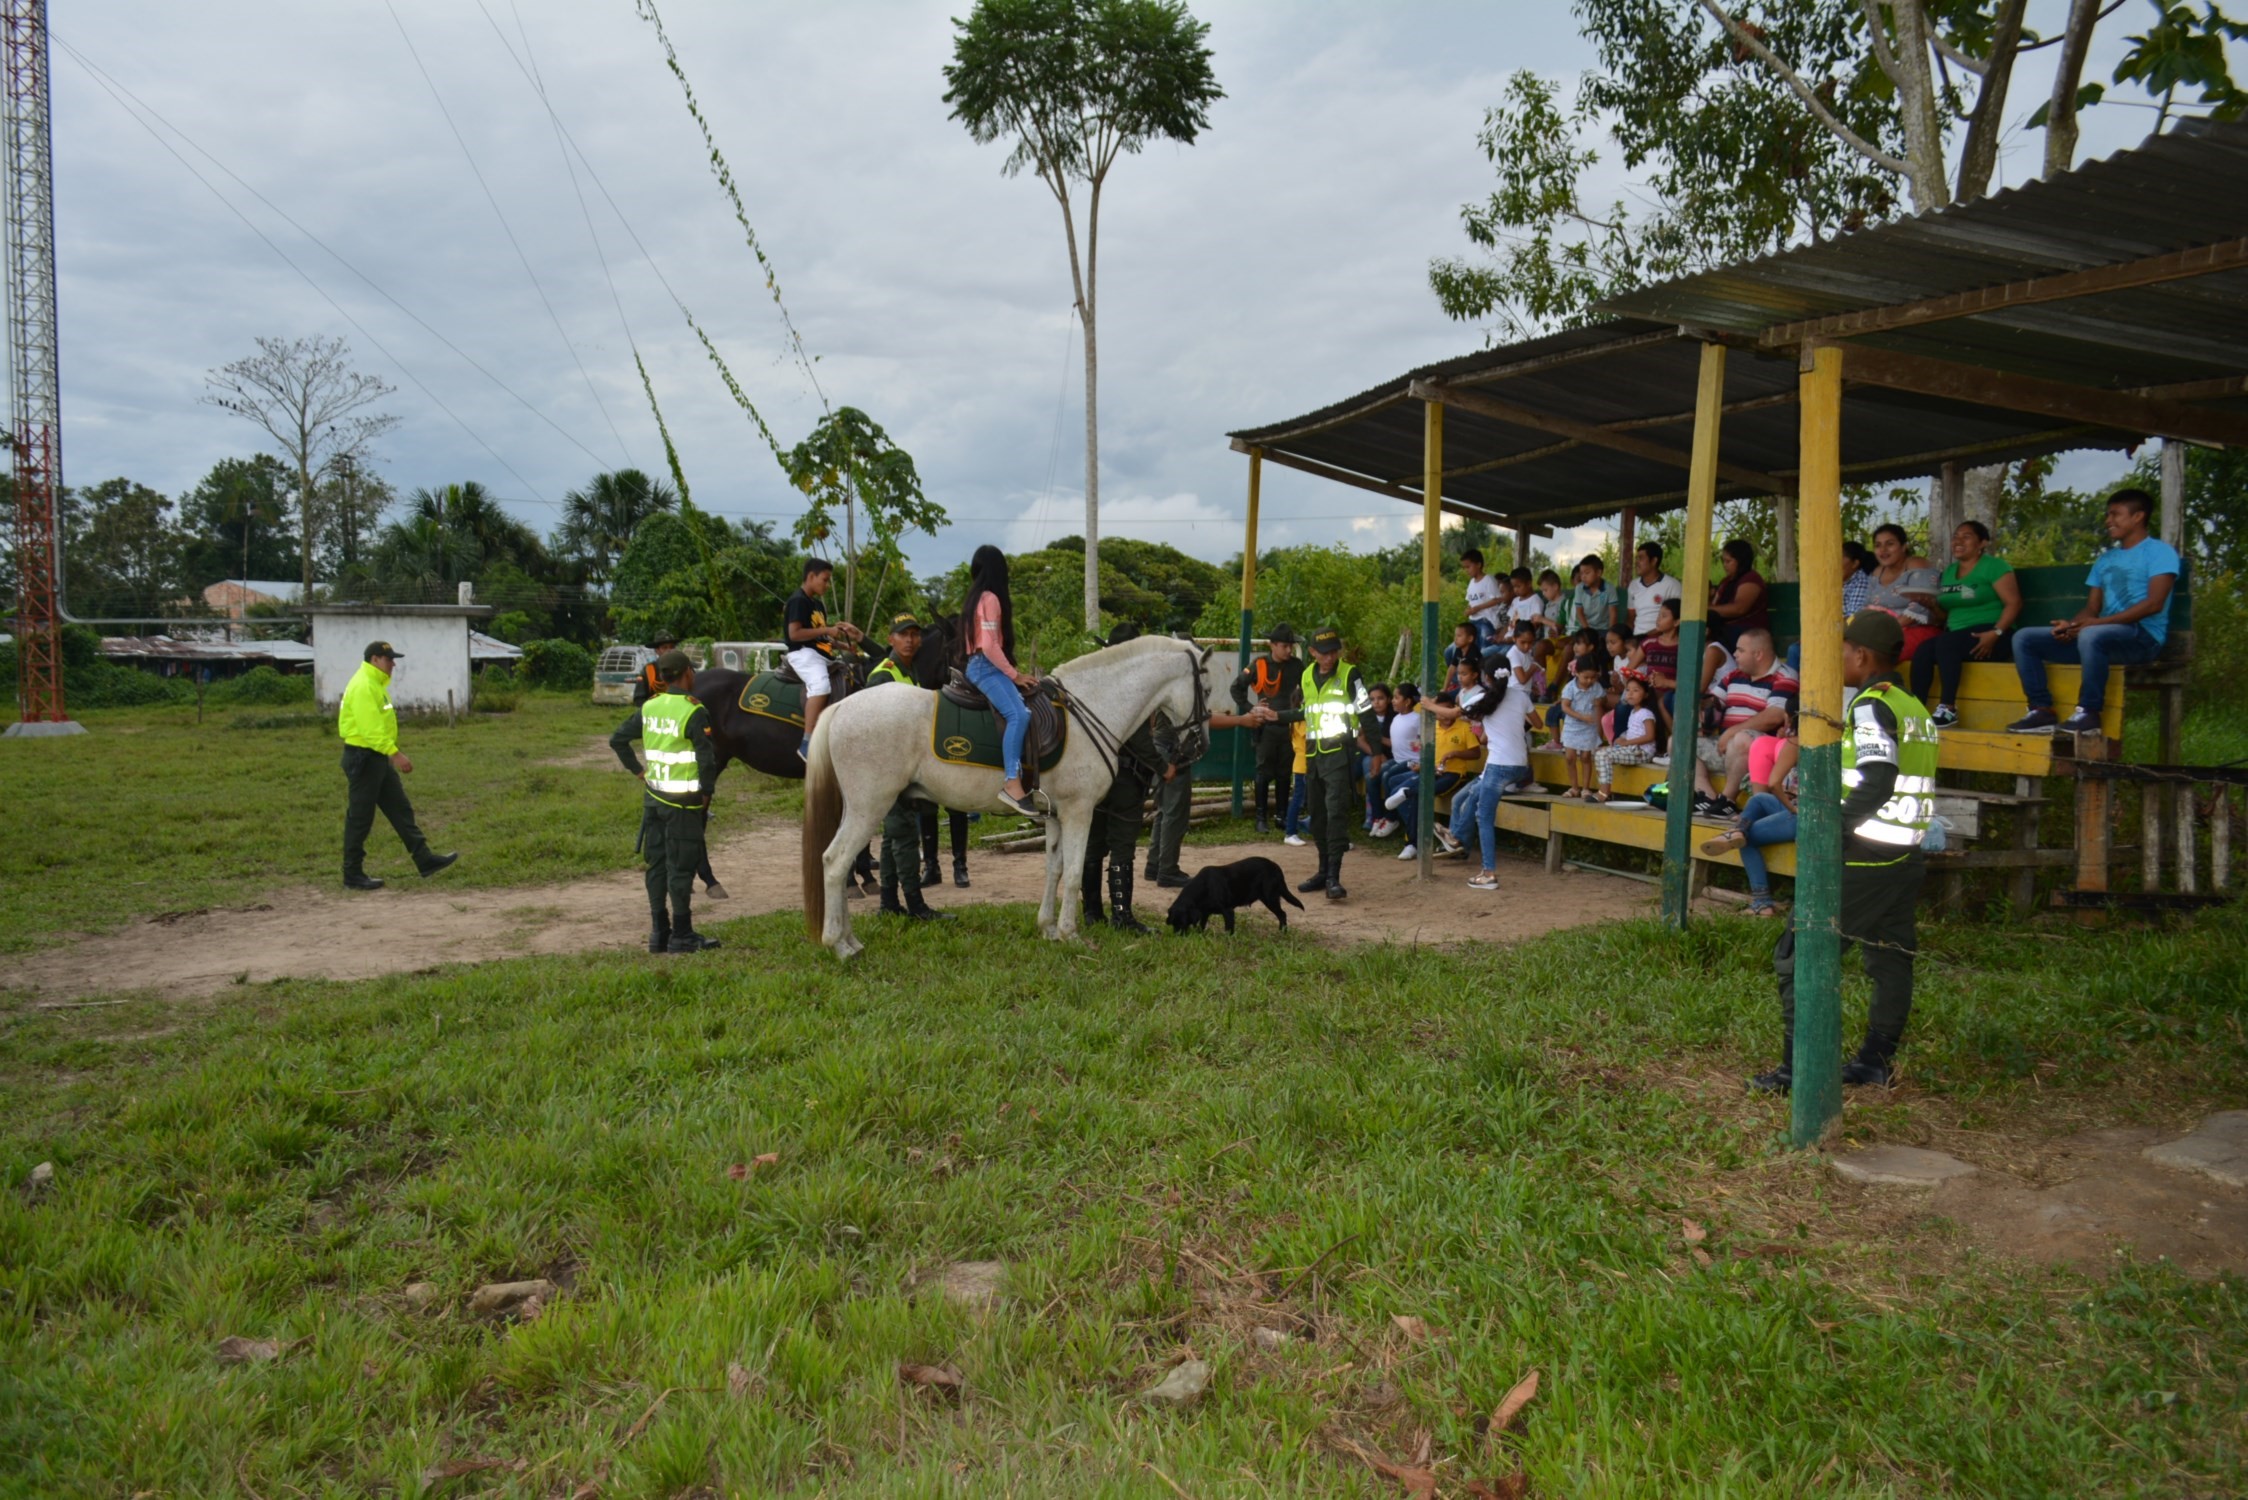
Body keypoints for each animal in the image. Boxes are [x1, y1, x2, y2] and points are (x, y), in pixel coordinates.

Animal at [801, 635, 1223, 959]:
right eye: (1206, 691)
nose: (1199, 747)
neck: (1094, 705)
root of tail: (842, 706)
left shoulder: (1054, 814)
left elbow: (1054, 869)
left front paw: (1048, 929)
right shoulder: (1079, 811)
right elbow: (1074, 872)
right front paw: (1071, 934)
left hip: (859, 807)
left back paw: (850, 939)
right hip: (869, 807)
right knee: (835, 862)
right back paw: (839, 945)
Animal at [1164, 856, 1305, 934]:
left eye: (1183, 924)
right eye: (1173, 924)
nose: (1178, 936)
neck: (1204, 887)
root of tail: (1276, 867)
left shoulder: (1228, 911)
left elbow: (1229, 929)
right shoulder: (1204, 912)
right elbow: (1201, 925)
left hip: (1270, 897)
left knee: (1282, 914)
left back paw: (1282, 932)